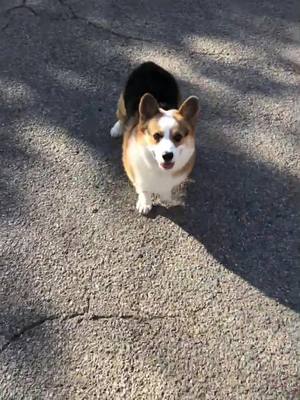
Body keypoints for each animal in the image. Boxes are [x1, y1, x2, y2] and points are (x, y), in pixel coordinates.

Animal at [110, 61, 199, 214]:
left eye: (178, 137)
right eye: (156, 136)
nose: (167, 156)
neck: (158, 168)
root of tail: (150, 64)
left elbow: (166, 190)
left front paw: (166, 199)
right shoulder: (137, 175)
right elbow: (144, 190)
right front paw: (145, 203)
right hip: (122, 106)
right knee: (122, 117)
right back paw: (117, 129)